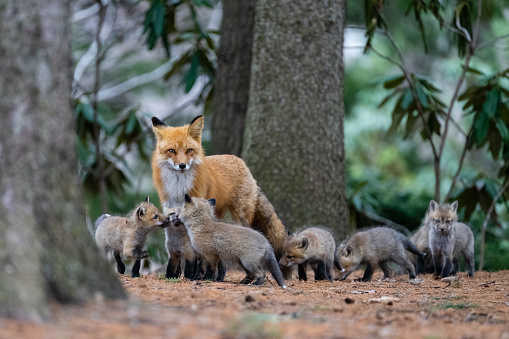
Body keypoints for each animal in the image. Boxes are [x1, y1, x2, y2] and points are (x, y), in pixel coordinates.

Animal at [151, 115, 290, 280]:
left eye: (189, 150)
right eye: (171, 151)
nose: (182, 165)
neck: (179, 186)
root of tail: (240, 161)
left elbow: (197, 252)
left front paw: (196, 275)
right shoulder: (169, 204)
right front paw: (175, 274)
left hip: (240, 216)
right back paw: (220, 276)